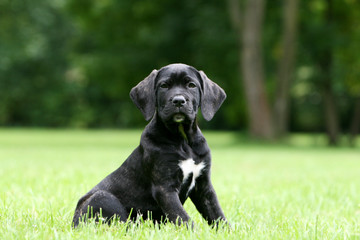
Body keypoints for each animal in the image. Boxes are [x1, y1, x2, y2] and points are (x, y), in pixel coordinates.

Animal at [71, 63, 226, 227]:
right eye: (164, 85)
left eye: (191, 85)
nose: (178, 101)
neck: (183, 138)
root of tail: (74, 221)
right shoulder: (164, 188)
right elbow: (182, 217)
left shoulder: (204, 187)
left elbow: (217, 214)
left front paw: (227, 230)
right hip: (102, 197)